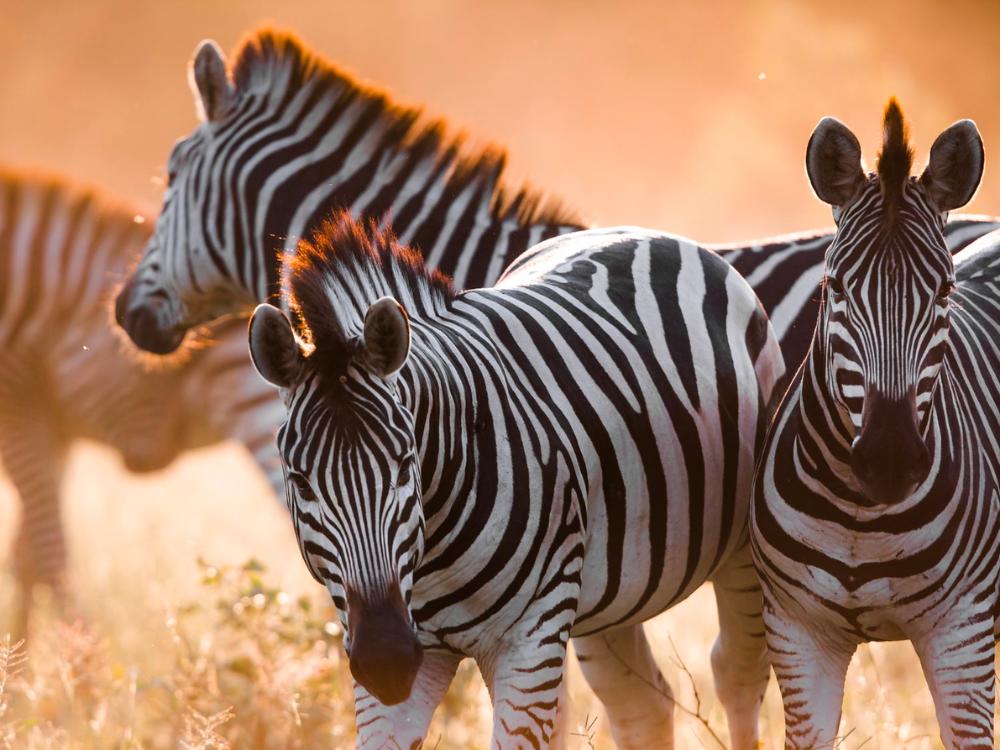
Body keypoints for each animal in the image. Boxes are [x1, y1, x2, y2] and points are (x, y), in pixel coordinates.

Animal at [0, 167, 286, 635]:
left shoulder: (20, 406)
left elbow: (48, 552)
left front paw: (79, 653)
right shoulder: (56, 425)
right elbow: (26, 558)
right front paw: (24, 652)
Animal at [248, 211, 785, 749]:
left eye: (404, 466)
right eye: (301, 482)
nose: (387, 662)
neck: (431, 553)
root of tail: (643, 232)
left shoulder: (530, 638)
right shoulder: (396, 639)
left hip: (742, 550)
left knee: (736, 675)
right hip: (611, 589)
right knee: (641, 704)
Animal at [750, 100, 1000, 749]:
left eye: (945, 290)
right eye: (835, 286)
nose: (890, 460)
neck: (859, 516)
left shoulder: (962, 633)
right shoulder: (797, 634)